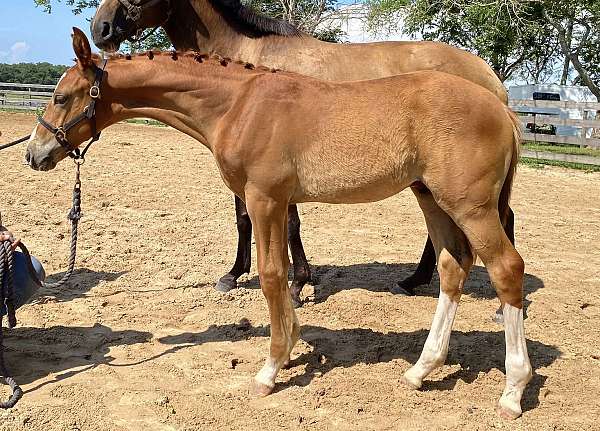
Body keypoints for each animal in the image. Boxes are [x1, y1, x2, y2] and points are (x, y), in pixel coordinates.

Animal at [90, 0, 516, 308]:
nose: (100, 28)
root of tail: (491, 79)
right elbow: (244, 220)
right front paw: (235, 274)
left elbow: (287, 225)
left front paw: (297, 285)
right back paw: (414, 281)